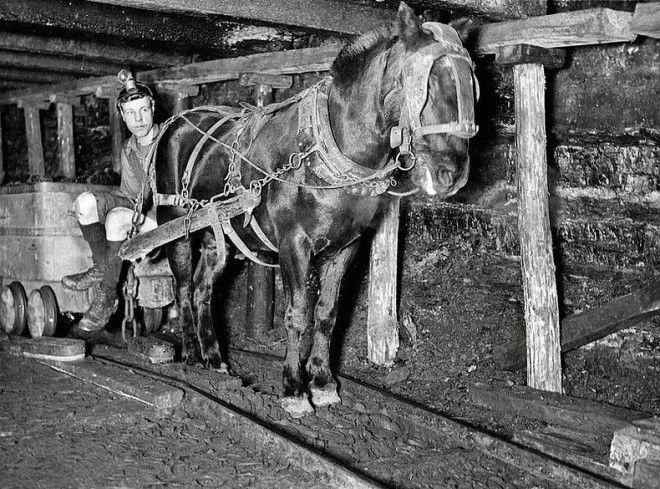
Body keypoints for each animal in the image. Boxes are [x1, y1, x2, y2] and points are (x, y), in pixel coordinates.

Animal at [153, 2, 476, 416]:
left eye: (470, 85)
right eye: (427, 86)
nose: (453, 174)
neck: (332, 151)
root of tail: (178, 121)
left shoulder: (346, 247)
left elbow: (326, 314)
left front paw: (322, 382)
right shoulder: (294, 244)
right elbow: (298, 315)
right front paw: (293, 388)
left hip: (216, 236)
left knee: (202, 289)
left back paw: (214, 358)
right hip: (176, 227)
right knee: (181, 287)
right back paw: (192, 354)